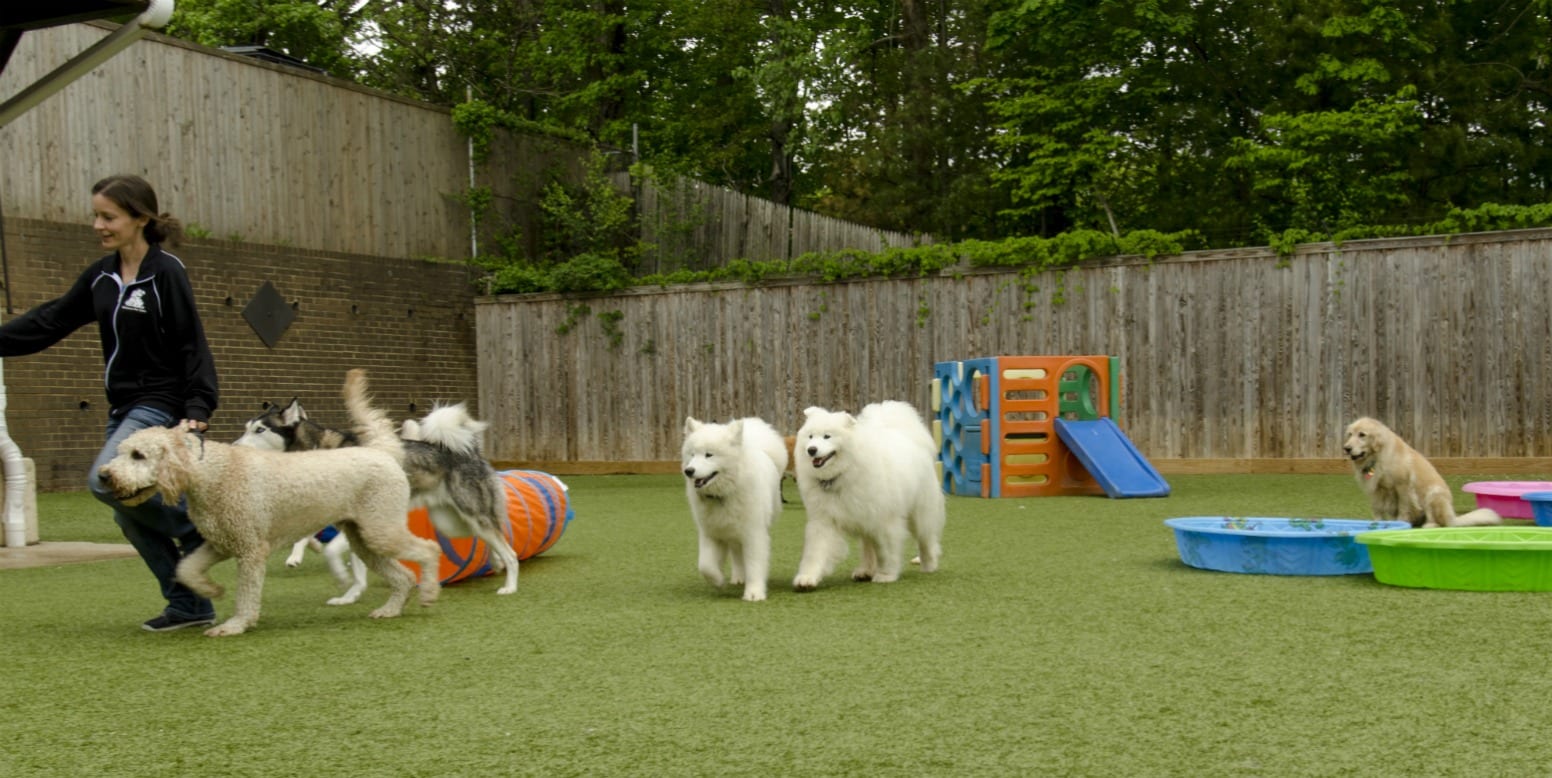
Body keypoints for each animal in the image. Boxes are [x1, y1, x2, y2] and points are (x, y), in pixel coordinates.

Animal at [397, 403, 524, 590]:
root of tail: (471, 452)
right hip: (452, 525)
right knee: (487, 538)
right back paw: (496, 562)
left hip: (471, 516)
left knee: (510, 553)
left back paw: (510, 588)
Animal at [682, 413, 788, 599]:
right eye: (692, 454)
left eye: (709, 455)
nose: (689, 471)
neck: (723, 495)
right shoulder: (711, 533)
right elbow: (705, 565)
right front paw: (718, 581)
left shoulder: (753, 534)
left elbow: (754, 565)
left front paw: (754, 593)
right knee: (737, 555)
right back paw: (738, 577)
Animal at [800, 400, 943, 586]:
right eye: (810, 436)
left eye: (827, 436)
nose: (811, 449)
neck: (844, 472)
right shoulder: (825, 520)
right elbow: (816, 551)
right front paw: (807, 578)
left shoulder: (884, 520)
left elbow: (886, 551)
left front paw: (886, 575)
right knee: (869, 546)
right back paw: (865, 571)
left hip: (919, 513)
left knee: (926, 539)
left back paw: (928, 564)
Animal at [1340, 419, 1496, 527]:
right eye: (1350, 434)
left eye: (1362, 435)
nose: (1346, 448)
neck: (1377, 456)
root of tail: (1453, 518)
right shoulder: (1376, 489)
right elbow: (1377, 509)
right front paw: (1378, 524)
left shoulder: (1402, 487)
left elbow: (1403, 508)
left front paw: (1400, 523)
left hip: (1433, 494)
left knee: (1439, 522)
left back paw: (1429, 525)